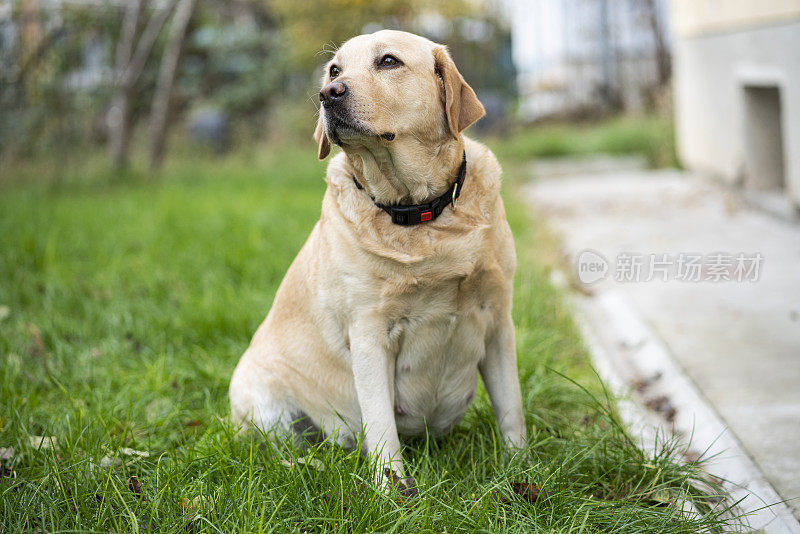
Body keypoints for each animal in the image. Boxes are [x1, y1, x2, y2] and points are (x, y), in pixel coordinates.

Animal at [230, 30, 524, 494]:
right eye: (334, 69)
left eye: (388, 61)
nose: (328, 93)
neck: (419, 212)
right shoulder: (369, 334)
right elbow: (383, 426)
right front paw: (392, 491)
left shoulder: (497, 320)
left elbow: (511, 406)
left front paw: (521, 469)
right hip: (262, 399)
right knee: (282, 453)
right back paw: (316, 463)